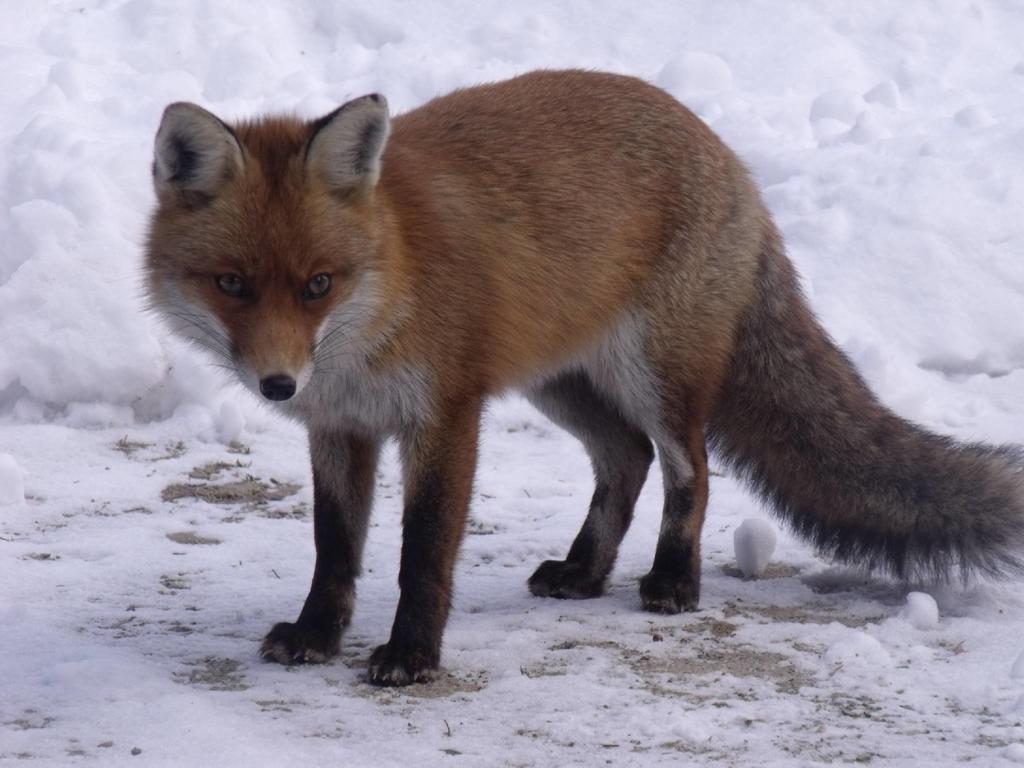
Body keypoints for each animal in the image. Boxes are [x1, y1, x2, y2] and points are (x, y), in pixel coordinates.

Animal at [144, 69, 1024, 688]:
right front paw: (318, 634)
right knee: (626, 460)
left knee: (688, 469)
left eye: (318, 285)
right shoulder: (341, 427)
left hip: (653, 374)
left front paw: (411, 655)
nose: (278, 385)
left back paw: (672, 581)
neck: (390, 285)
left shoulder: (445, 415)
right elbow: (335, 546)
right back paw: (584, 571)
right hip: (561, 382)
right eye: (233, 285)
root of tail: (724, 152)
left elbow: (423, 552)